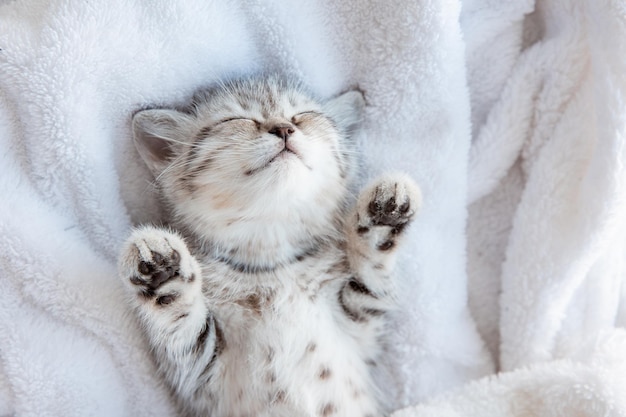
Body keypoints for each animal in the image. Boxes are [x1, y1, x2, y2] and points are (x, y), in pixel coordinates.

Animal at [117, 75, 420, 416]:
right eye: (236, 119)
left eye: (303, 116)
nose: (284, 129)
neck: (270, 259)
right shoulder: (196, 376)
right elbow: (181, 326)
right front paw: (162, 272)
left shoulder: (364, 329)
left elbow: (371, 277)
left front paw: (384, 214)